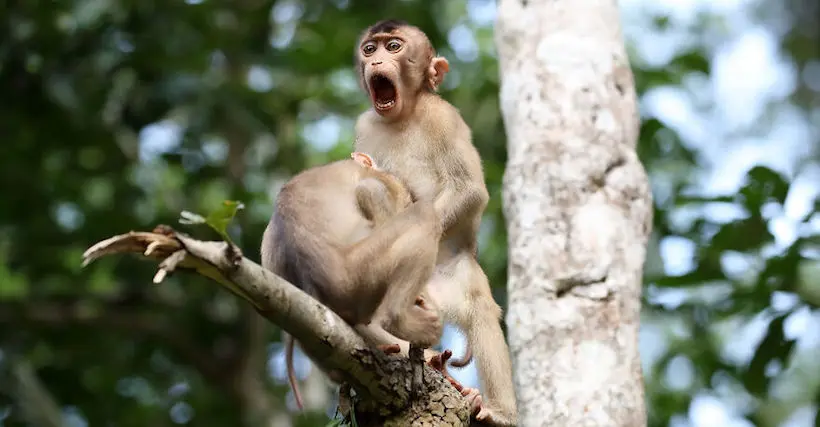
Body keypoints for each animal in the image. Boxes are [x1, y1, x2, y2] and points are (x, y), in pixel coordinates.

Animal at [352, 20, 520, 427]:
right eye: (369, 49)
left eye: (394, 46)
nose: (376, 60)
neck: (404, 116)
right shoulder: (366, 125)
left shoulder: (444, 117)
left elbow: (469, 189)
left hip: (454, 277)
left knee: (479, 308)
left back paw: (495, 410)